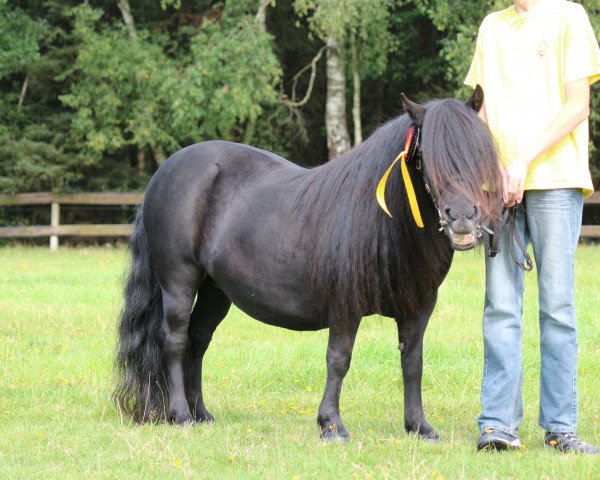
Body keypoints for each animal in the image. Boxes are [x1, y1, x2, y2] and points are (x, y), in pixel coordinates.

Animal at [113, 87, 502, 442]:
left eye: (480, 150)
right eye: (426, 157)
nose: (463, 219)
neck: (383, 220)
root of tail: (165, 171)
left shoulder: (417, 310)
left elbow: (413, 363)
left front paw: (418, 426)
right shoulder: (345, 306)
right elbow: (339, 359)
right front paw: (331, 425)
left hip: (215, 291)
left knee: (197, 341)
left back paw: (201, 414)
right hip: (178, 281)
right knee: (175, 340)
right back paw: (180, 414)